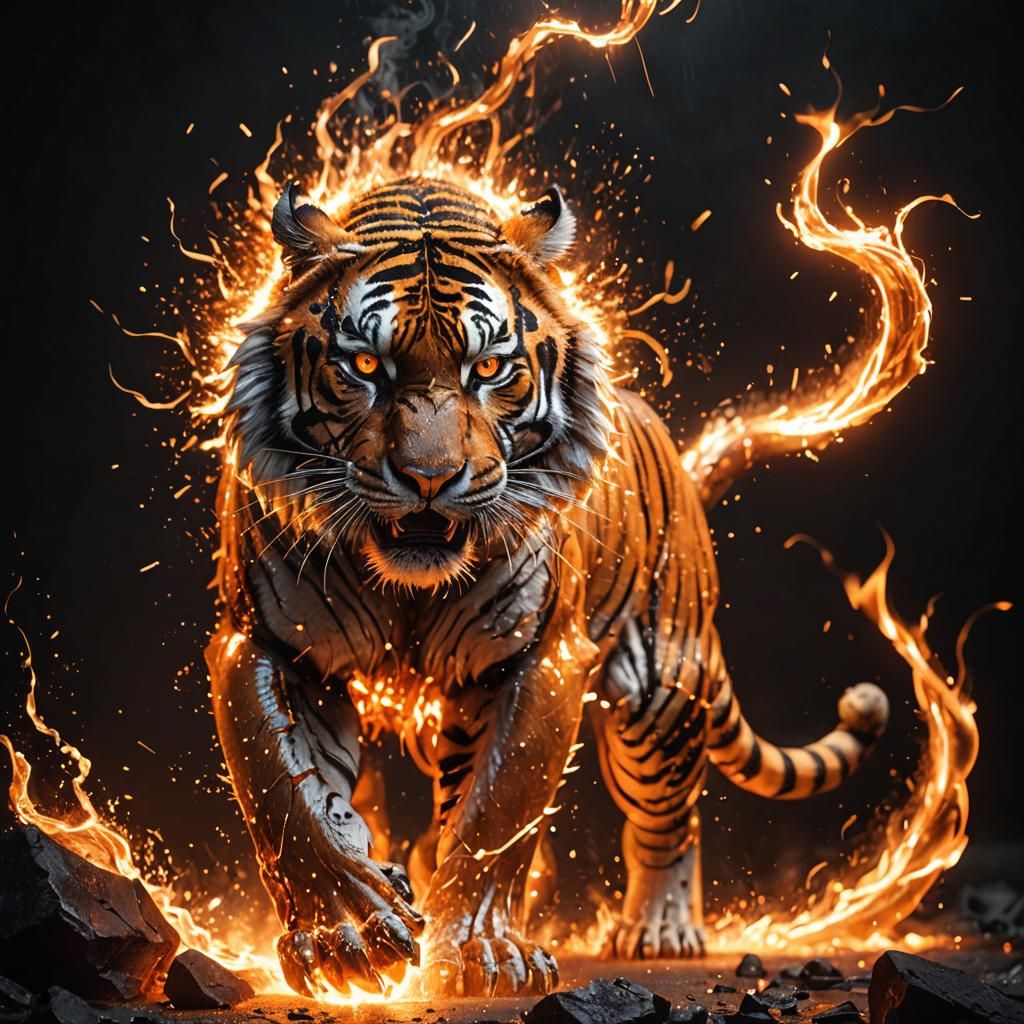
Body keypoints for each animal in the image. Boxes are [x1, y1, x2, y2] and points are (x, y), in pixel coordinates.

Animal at [206, 177, 890, 998]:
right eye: (366, 367)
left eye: (488, 369)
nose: (430, 478)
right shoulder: (266, 644)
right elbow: (286, 792)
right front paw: (349, 931)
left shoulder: (536, 659)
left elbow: (498, 813)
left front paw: (479, 952)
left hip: (660, 697)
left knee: (672, 821)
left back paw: (659, 929)